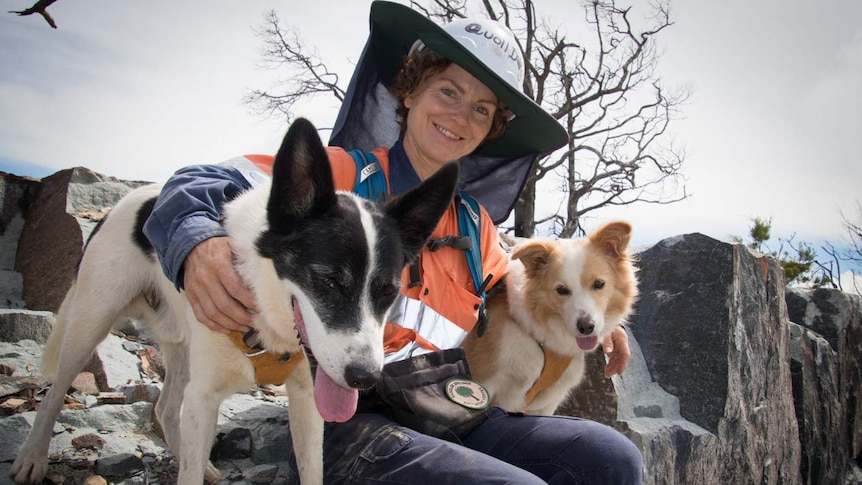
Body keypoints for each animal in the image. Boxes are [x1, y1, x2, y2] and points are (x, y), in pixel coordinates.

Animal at [10, 118, 460, 484]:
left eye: (388, 291)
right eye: (328, 280)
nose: (364, 378)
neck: (264, 313)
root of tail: (132, 200)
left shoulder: (306, 399)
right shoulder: (206, 396)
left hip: (181, 345)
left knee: (165, 408)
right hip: (91, 319)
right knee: (54, 392)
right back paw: (32, 458)